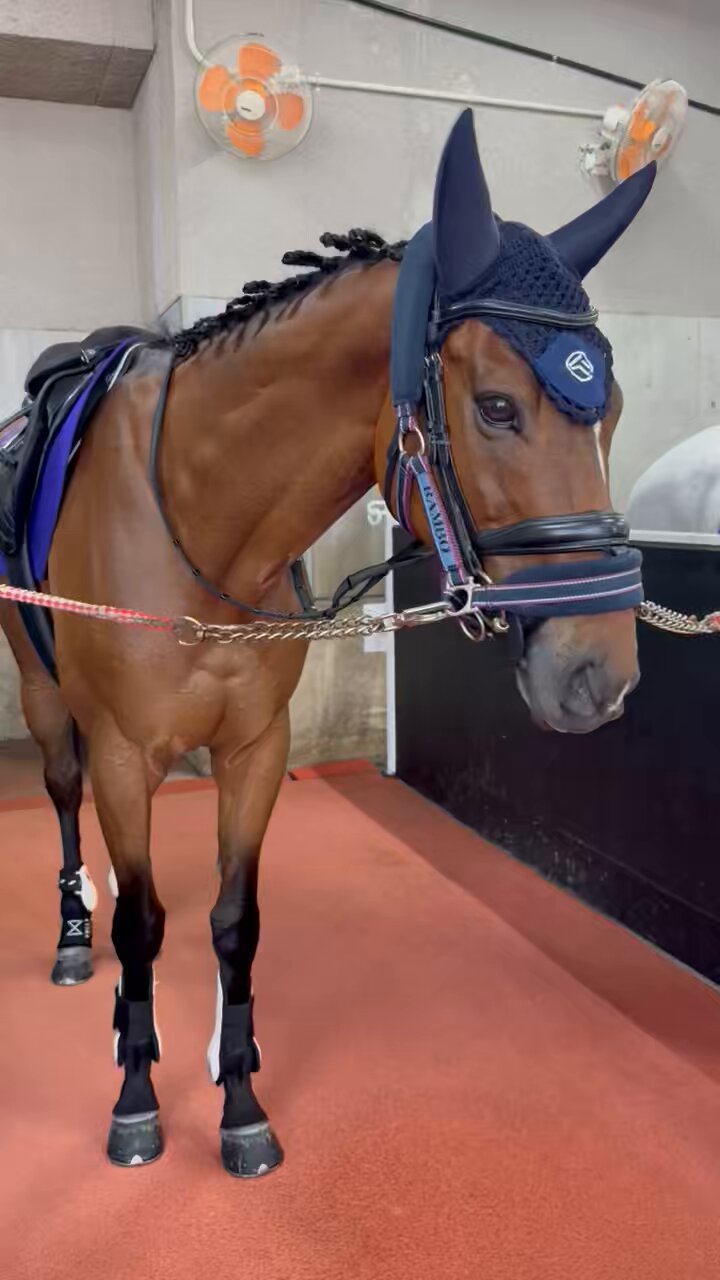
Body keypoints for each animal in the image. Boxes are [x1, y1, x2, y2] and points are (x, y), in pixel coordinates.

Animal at [0, 109, 656, 1175]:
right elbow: (141, 924)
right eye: (497, 407)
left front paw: (239, 1093)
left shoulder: (256, 748)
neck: (200, 515)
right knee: (61, 796)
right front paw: (138, 1092)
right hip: (42, 687)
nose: (599, 673)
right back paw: (70, 933)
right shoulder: (125, 754)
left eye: (614, 412)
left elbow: (235, 924)